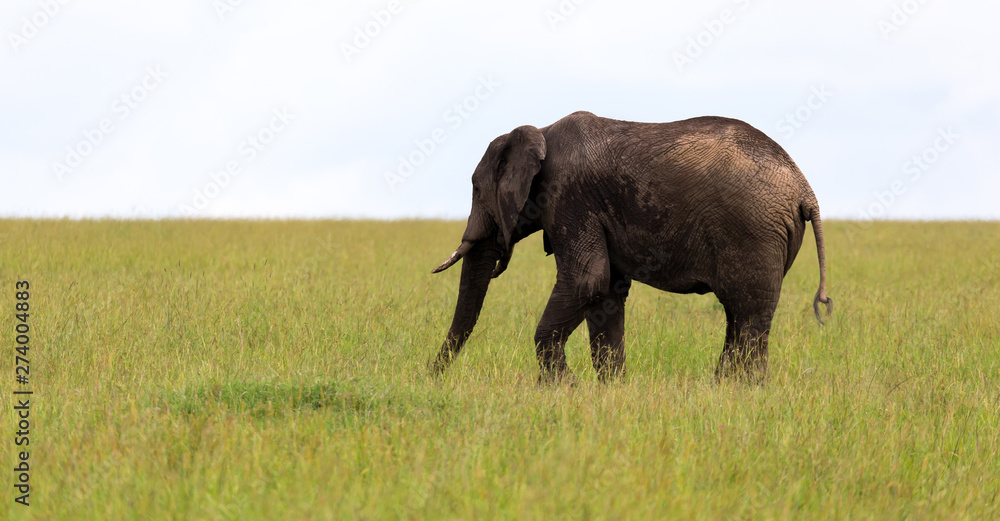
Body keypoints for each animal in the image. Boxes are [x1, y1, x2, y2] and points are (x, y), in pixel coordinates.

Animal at [430, 111, 832, 383]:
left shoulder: (569, 196)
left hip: (753, 230)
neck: (539, 132)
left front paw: (563, 389)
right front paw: (610, 389)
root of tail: (805, 189)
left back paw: (743, 391)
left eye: (476, 189)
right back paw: (723, 388)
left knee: (747, 315)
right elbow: (604, 292)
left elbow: (586, 281)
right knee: (740, 315)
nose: (430, 374)